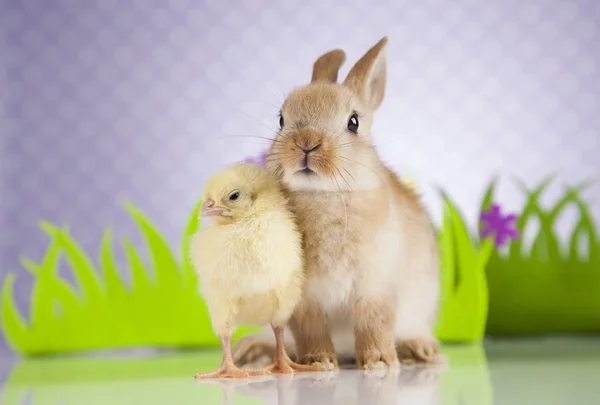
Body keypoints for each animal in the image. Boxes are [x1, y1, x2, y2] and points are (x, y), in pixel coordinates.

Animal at [233, 37, 440, 370]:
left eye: (353, 122)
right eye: (281, 119)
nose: (306, 142)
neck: (324, 195)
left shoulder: (375, 285)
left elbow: (374, 323)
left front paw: (379, 362)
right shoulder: (303, 299)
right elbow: (310, 328)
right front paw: (319, 362)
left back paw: (418, 350)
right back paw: (253, 351)